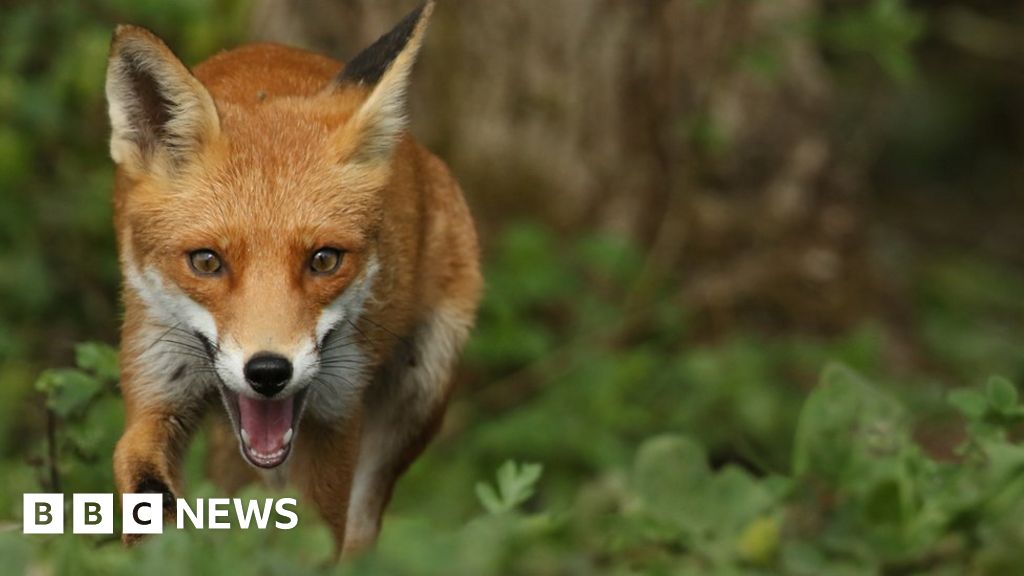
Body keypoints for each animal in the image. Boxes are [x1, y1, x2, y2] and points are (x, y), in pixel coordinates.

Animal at [105, 1, 481, 553]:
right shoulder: (157, 382)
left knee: (362, 528)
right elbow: (141, 477)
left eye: (324, 260)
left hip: (419, 395)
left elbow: (315, 538)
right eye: (206, 262)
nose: (267, 372)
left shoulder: (335, 415)